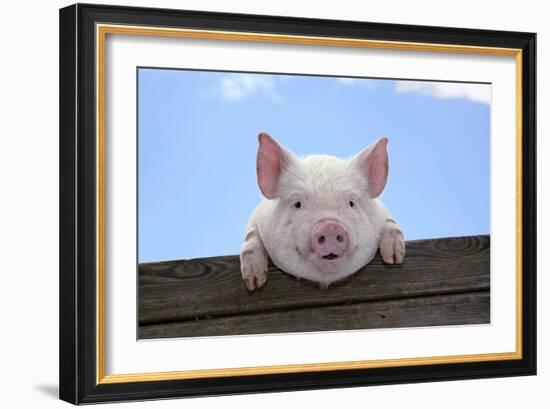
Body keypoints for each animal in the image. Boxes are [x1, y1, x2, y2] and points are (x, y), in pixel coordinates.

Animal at [240, 131, 406, 290]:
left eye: (351, 203)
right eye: (297, 204)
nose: (331, 227)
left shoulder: (383, 212)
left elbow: (391, 223)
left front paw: (394, 258)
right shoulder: (256, 217)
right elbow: (251, 237)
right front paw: (254, 283)